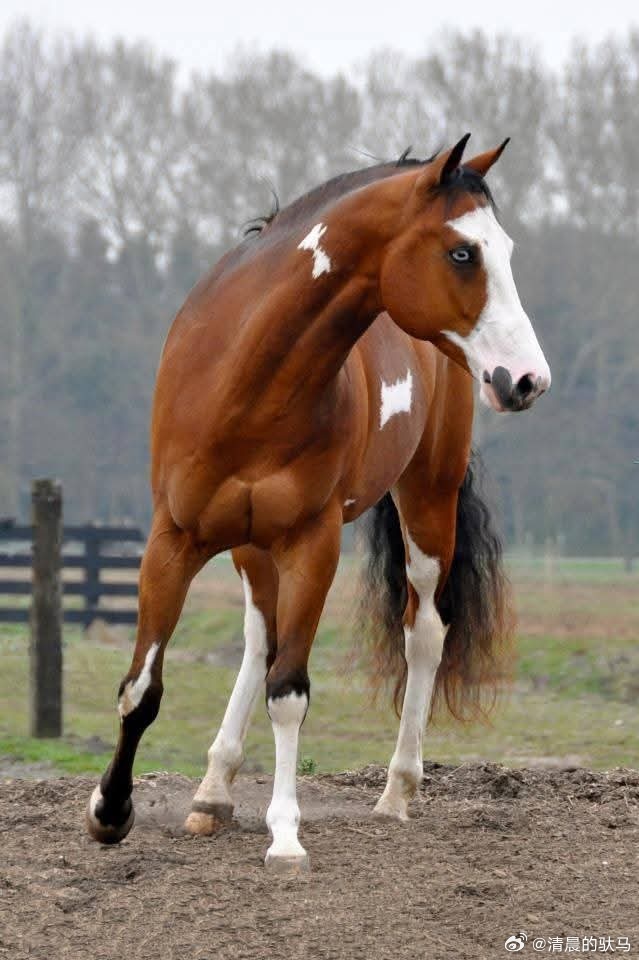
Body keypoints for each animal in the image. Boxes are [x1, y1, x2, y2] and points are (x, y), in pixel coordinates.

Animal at [86, 134, 551, 875]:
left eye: (501, 248)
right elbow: (144, 686)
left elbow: (290, 692)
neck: (247, 377)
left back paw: (397, 790)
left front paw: (284, 834)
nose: (529, 379)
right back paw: (213, 790)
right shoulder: (174, 540)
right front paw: (109, 810)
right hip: (251, 544)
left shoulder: (311, 545)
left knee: (424, 632)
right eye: (462, 253)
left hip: (427, 499)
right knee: (259, 639)